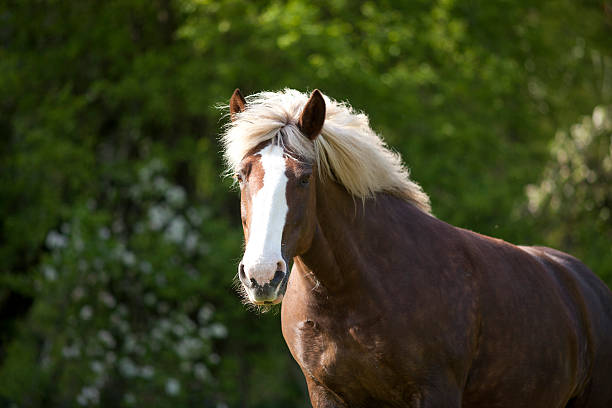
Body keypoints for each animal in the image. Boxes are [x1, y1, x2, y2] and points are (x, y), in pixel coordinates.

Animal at [220, 89, 612, 408]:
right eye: (241, 175)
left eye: (304, 178)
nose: (261, 275)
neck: (355, 293)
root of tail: (586, 285)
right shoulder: (326, 393)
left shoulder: (435, 391)